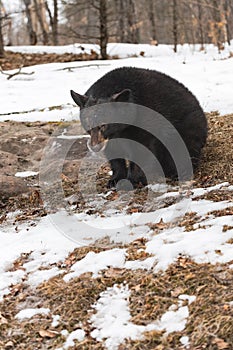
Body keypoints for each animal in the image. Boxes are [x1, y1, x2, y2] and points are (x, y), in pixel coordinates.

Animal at [70, 67, 207, 189]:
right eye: (88, 124)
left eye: (104, 125)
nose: (94, 146)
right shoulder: (112, 137)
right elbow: (114, 153)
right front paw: (114, 179)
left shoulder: (144, 123)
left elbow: (142, 150)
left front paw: (130, 182)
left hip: (186, 130)